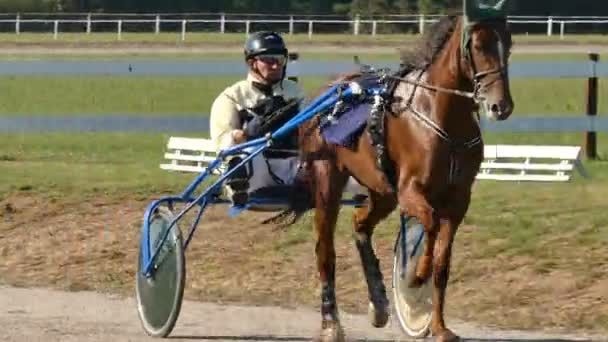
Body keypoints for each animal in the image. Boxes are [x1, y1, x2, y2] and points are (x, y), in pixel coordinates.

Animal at [270, 8, 512, 342]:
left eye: (509, 44)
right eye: (478, 45)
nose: (501, 106)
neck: (441, 116)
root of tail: (329, 92)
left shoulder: (459, 200)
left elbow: (442, 264)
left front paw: (439, 326)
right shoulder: (410, 192)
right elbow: (429, 224)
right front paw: (416, 274)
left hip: (382, 190)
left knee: (360, 224)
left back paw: (379, 303)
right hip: (328, 181)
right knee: (325, 250)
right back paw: (331, 322)